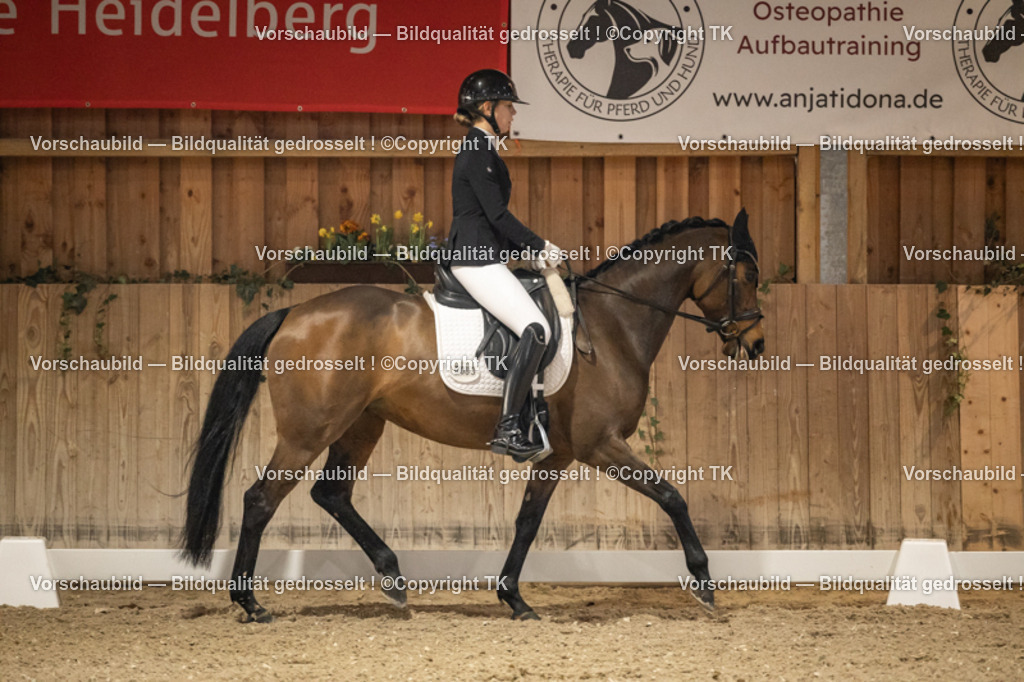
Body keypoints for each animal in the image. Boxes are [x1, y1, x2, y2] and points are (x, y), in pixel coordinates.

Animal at [180, 212, 766, 623]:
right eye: (746, 274)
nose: (757, 343)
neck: (613, 324)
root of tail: (294, 314)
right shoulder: (601, 445)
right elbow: (672, 496)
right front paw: (705, 583)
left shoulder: (559, 454)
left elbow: (528, 522)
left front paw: (514, 599)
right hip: (309, 431)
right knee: (261, 500)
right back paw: (250, 603)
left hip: (362, 424)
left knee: (331, 494)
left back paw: (393, 579)